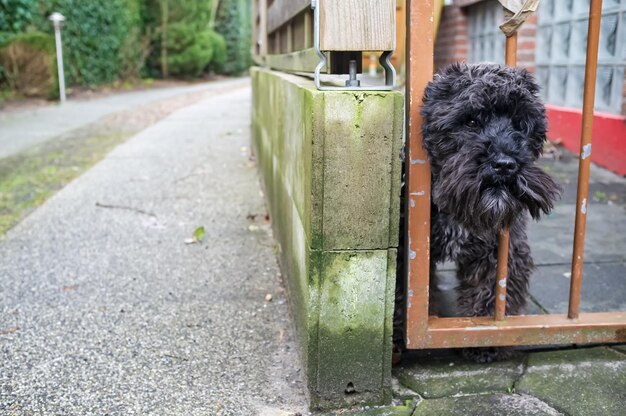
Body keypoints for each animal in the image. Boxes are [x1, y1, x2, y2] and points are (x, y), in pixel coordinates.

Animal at [420, 63, 560, 362]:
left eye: (520, 124)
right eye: (472, 121)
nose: (505, 164)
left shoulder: (501, 250)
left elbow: (490, 294)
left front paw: (485, 340)